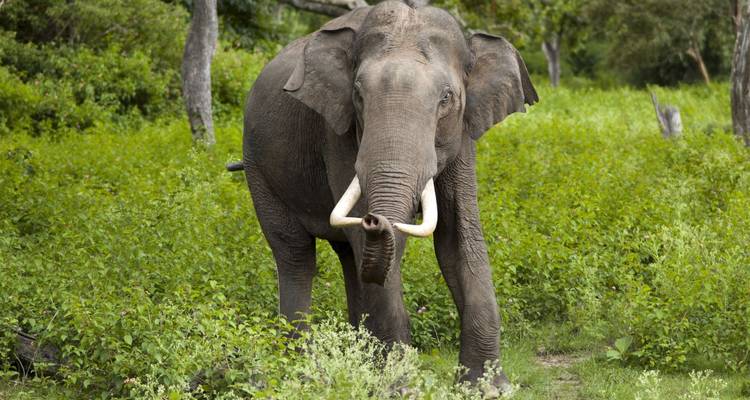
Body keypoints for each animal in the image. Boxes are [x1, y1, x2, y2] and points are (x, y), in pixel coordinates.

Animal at [236, 0, 537, 389]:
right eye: (358, 95)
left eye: (446, 98)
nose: (374, 219)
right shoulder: (339, 131)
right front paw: (400, 387)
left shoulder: (463, 133)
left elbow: (459, 238)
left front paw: (487, 388)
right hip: (257, 166)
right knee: (296, 256)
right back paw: (302, 372)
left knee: (349, 258)